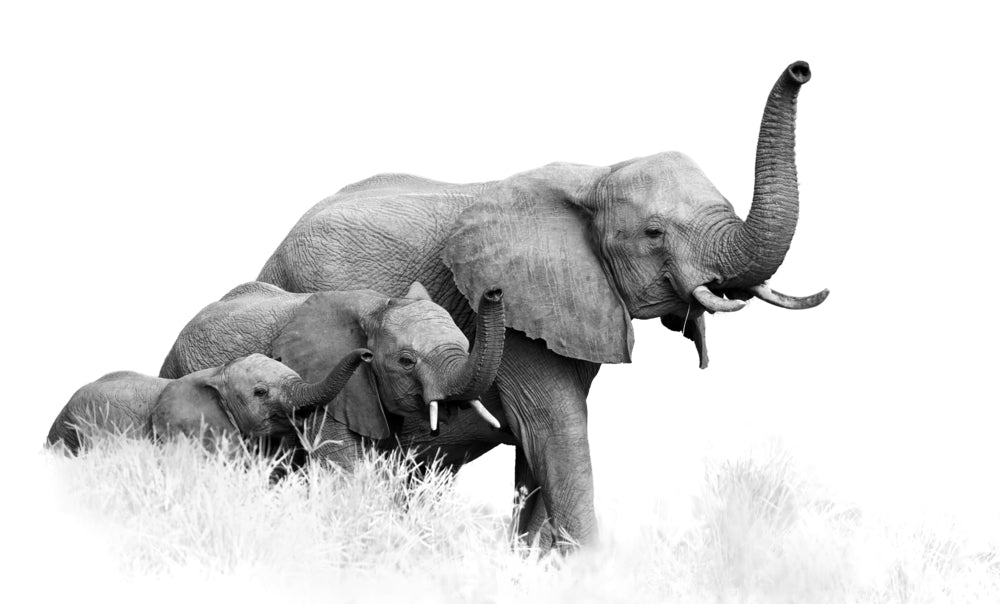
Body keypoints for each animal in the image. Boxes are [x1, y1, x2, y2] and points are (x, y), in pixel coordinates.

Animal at [253, 61, 827, 549]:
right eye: (654, 232)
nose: (801, 69)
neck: (598, 175)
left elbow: (540, 456)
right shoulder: (520, 322)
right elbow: (556, 431)